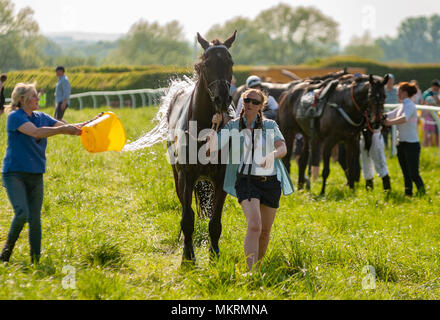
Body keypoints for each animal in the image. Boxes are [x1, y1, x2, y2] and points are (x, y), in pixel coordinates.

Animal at [167, 31, 237, 264]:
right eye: (206, 64)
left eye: (230, 62)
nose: (222, 98)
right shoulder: (186, 175)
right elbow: (187, 217)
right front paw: (188, 257)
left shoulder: (221, 177)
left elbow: (215, 221)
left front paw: (214, 254)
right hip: (177, 175)